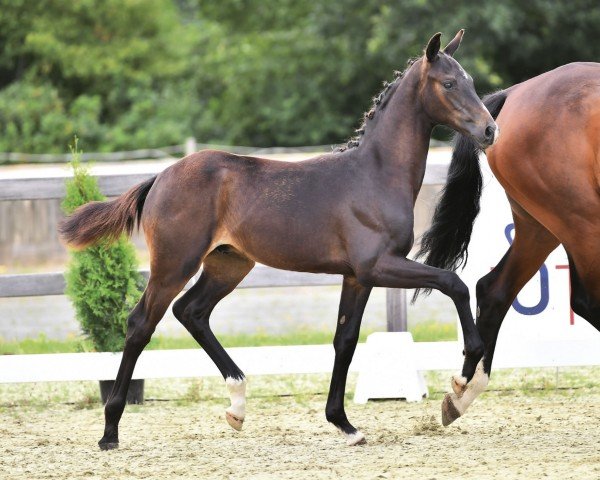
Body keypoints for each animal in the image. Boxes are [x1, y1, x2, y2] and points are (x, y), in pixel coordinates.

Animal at [59, 31, 496, 450]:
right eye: (449, 83)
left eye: (472, 82)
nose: (490, 129)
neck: (375, 175)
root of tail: (160, 177)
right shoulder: (379, 266)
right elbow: (453, 283)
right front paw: (461, 384)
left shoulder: (356, 277)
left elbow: (345, 341)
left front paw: (345, 425)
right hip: (173, 265)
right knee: (140, 324)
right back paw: (110, 430)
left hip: (228, 264)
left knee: (192, 312)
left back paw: (237, 405)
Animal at [418, 62, 600, 426]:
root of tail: (515, 93)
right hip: (579, 216)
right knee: (587, 300)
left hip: (541, 226)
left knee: (494, 290)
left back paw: (462, 393)